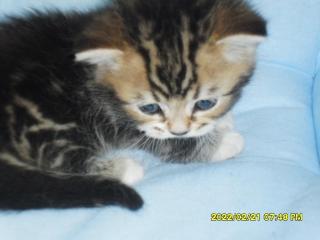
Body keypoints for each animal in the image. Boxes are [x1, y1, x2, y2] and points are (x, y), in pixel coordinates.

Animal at [0, 0, 266, 210]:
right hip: (38, 122)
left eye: (205, 103)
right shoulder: (119, 119)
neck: (93, 75)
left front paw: (219, 122)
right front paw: (225, 142)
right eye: (150, 108)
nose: (180, 130)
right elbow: (166, 143)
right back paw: (126, 168)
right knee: (58, 158)